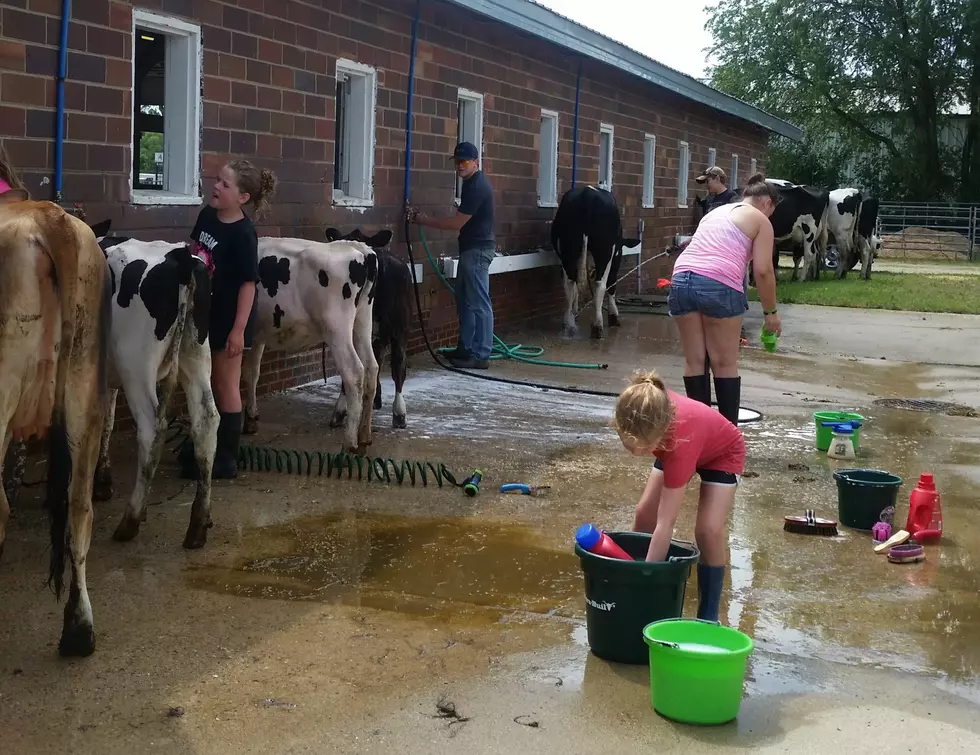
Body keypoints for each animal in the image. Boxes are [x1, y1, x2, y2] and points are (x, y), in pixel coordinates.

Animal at [91, 221, 219, 552]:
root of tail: (179, 257)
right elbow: (106, 421)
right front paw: (102, 480)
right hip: (195, 352)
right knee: (206, 421)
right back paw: (198, 524)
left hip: (136, 365)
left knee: (151, 429)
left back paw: (131, 520)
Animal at [243, 236, 380, 452]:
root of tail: (360, 248)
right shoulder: (257, 335)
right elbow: (251, 373)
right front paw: (251, 419)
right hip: (363, 319)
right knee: (371, 367)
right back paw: (364, 435)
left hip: (336, 328)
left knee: (354, 372)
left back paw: (349, 443)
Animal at [548, 185, 640, 338]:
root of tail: (587, 193)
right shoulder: (616, 254)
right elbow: (612, 283)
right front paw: (613, 316)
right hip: (604, 250)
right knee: (600, 284)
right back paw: (597, 326)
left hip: (569, 250)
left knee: (570, 283)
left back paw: (569, 324)